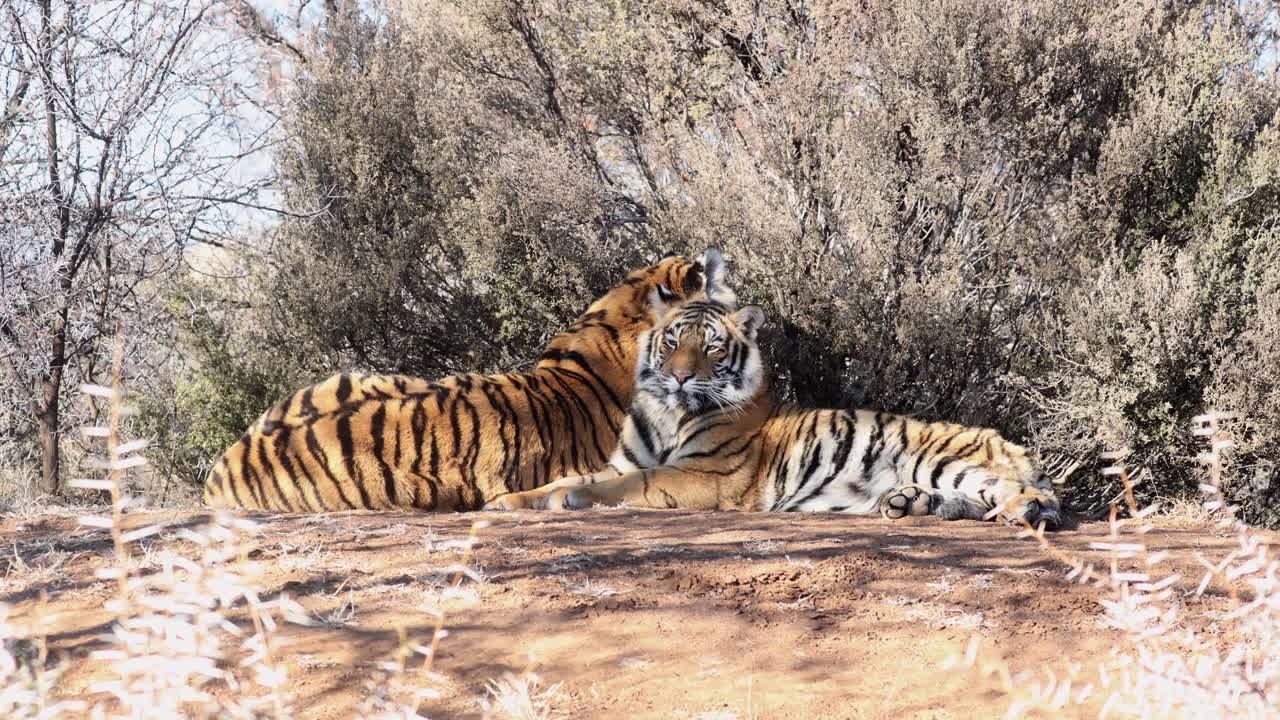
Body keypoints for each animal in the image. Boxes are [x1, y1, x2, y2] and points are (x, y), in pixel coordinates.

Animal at [484, 298, 1066, 530]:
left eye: (711, 347)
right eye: (672, 341)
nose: (679, 376)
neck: (669, 412)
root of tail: (1010, 441)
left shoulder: (703, 475)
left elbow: (623, 487)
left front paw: (569, 500)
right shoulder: (623, 461)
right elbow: (570, 477)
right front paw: (508, 501)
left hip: (943, 459)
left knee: (1027, 495)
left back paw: (1023, 512)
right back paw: (906, 504)